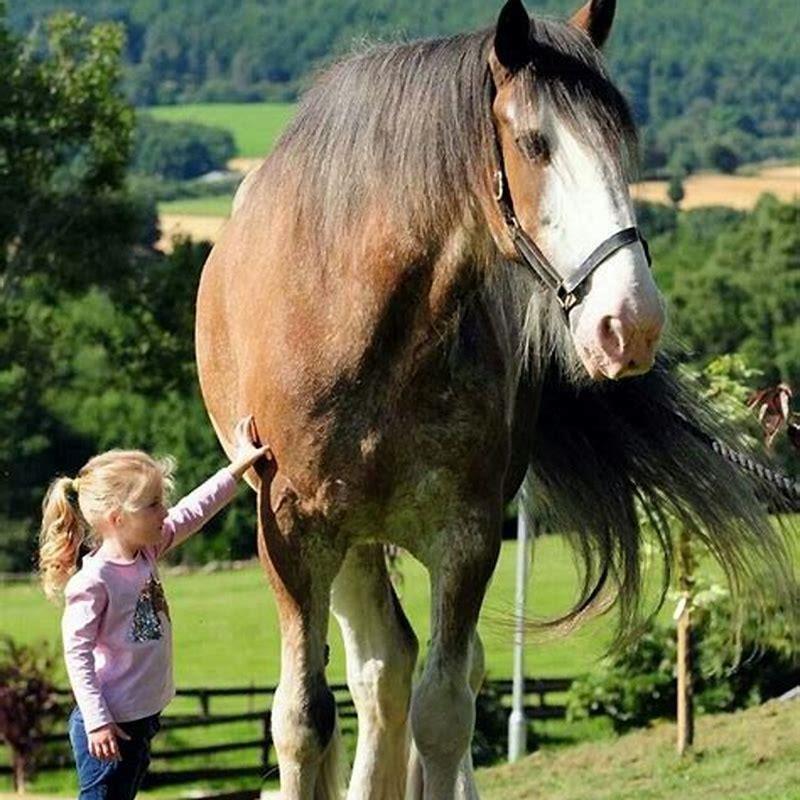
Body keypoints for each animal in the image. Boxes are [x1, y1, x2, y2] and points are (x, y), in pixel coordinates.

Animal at [195, 1, 795, 797]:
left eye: (623, 147)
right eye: (535, 143)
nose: (630, 322)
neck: (357, 320)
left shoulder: (468, 538)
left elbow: (445, 712)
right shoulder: (294, 533)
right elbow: (301, 720)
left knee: (402, 673)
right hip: (348, 544)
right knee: (371, 673)